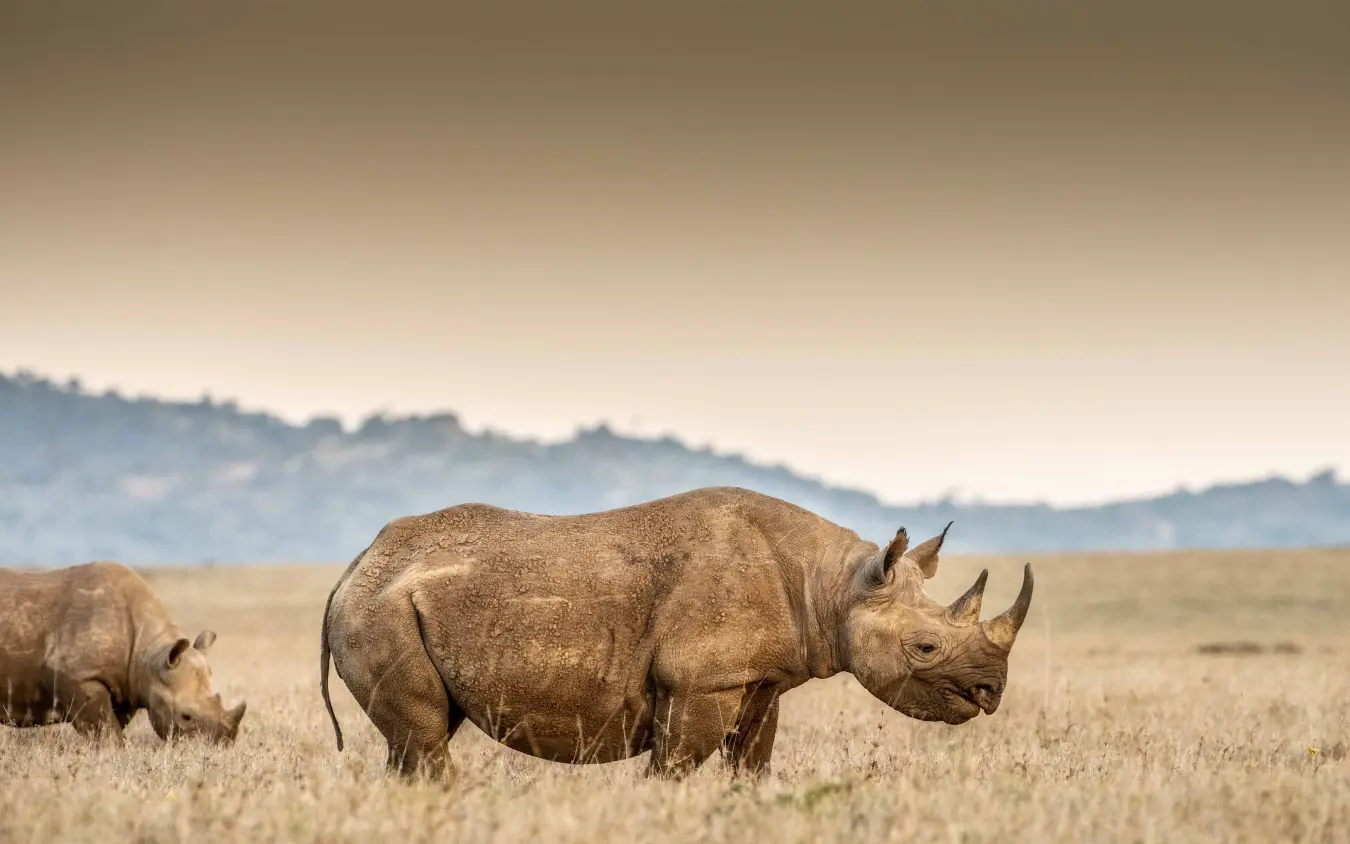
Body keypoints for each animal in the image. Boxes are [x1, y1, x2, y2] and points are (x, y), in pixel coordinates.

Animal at [0, 561, 247, 744]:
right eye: (186, 716)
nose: (220, 745)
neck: (148, 653)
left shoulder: (127, 687)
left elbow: (111, 725)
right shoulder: (81, 677)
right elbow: (105, 731)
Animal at [320, 486, 1032, 779]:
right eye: (926, 647)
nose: (991, 694)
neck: (834, 585)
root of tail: (356, 562)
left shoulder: (759, 679)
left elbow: (751, 762)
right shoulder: (699, 682)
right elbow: (676, 767)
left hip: (392, 604)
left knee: (419, 739)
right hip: (379, 609)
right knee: (423, 738)